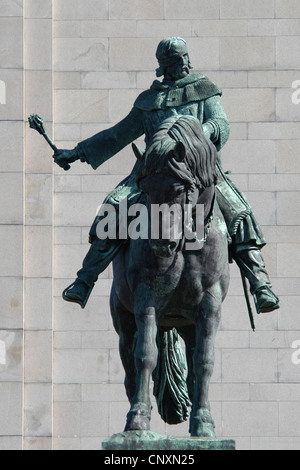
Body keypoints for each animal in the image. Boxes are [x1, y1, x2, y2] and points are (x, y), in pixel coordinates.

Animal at [110, 114, 230, 436]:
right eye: (145, 188)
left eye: (179, 189)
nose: (160, 244)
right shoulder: (147, 297)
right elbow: (145, 355)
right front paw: (138, 418)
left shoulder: (210, 305)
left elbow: (204, 361)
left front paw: (204, 422)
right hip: (123, 319)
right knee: (129, 364)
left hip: (188, 325)